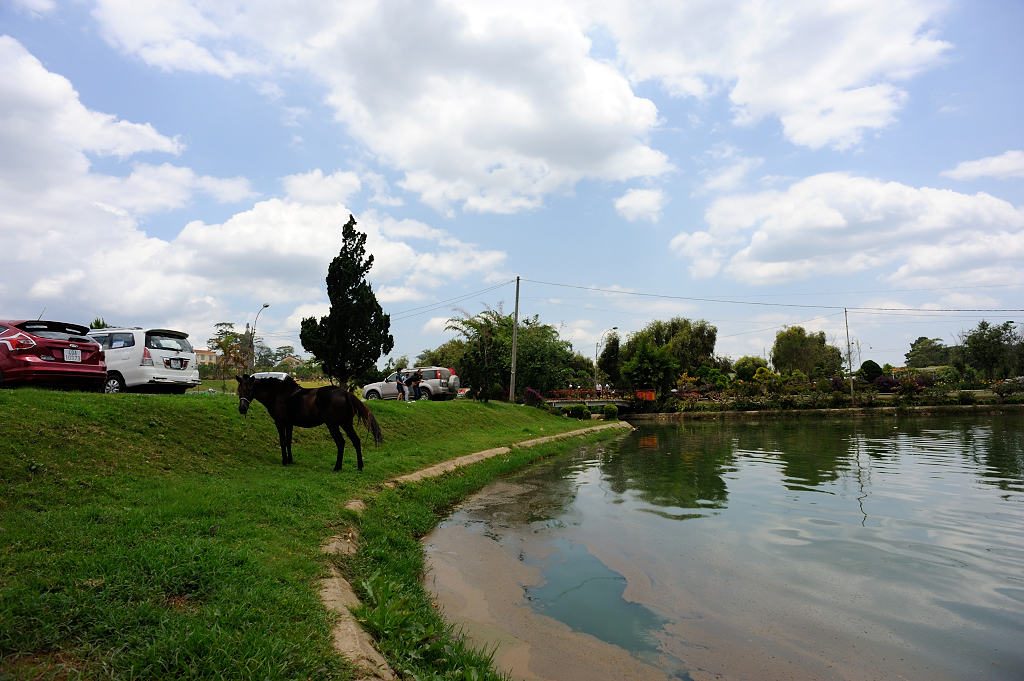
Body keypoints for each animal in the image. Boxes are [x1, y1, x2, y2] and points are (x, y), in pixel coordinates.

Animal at [235, 374, 385, 471]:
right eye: (239, 390)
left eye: (249, 389)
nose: (242, 409)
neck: (278, 394)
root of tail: (345, 393)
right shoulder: (289, 423)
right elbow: (288, 441)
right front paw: (290, 460)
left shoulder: (280, 422)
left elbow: (282, 441)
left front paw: (284, 461)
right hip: (346, 424)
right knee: (356, 441)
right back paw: (359, 466)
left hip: (333, 425)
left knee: (340, 442)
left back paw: (337, 467)